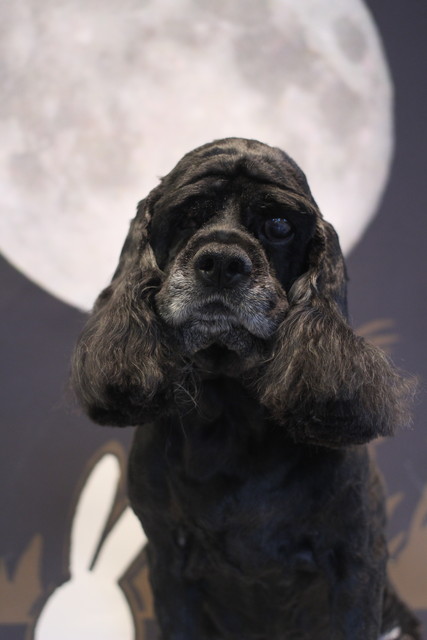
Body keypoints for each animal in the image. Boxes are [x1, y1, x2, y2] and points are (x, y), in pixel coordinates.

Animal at [72, 138, 420, 639]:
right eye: (188, 216)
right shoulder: (169, 562)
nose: (221, 263)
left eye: (278, 226)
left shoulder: (354, 562)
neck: (229, 408)